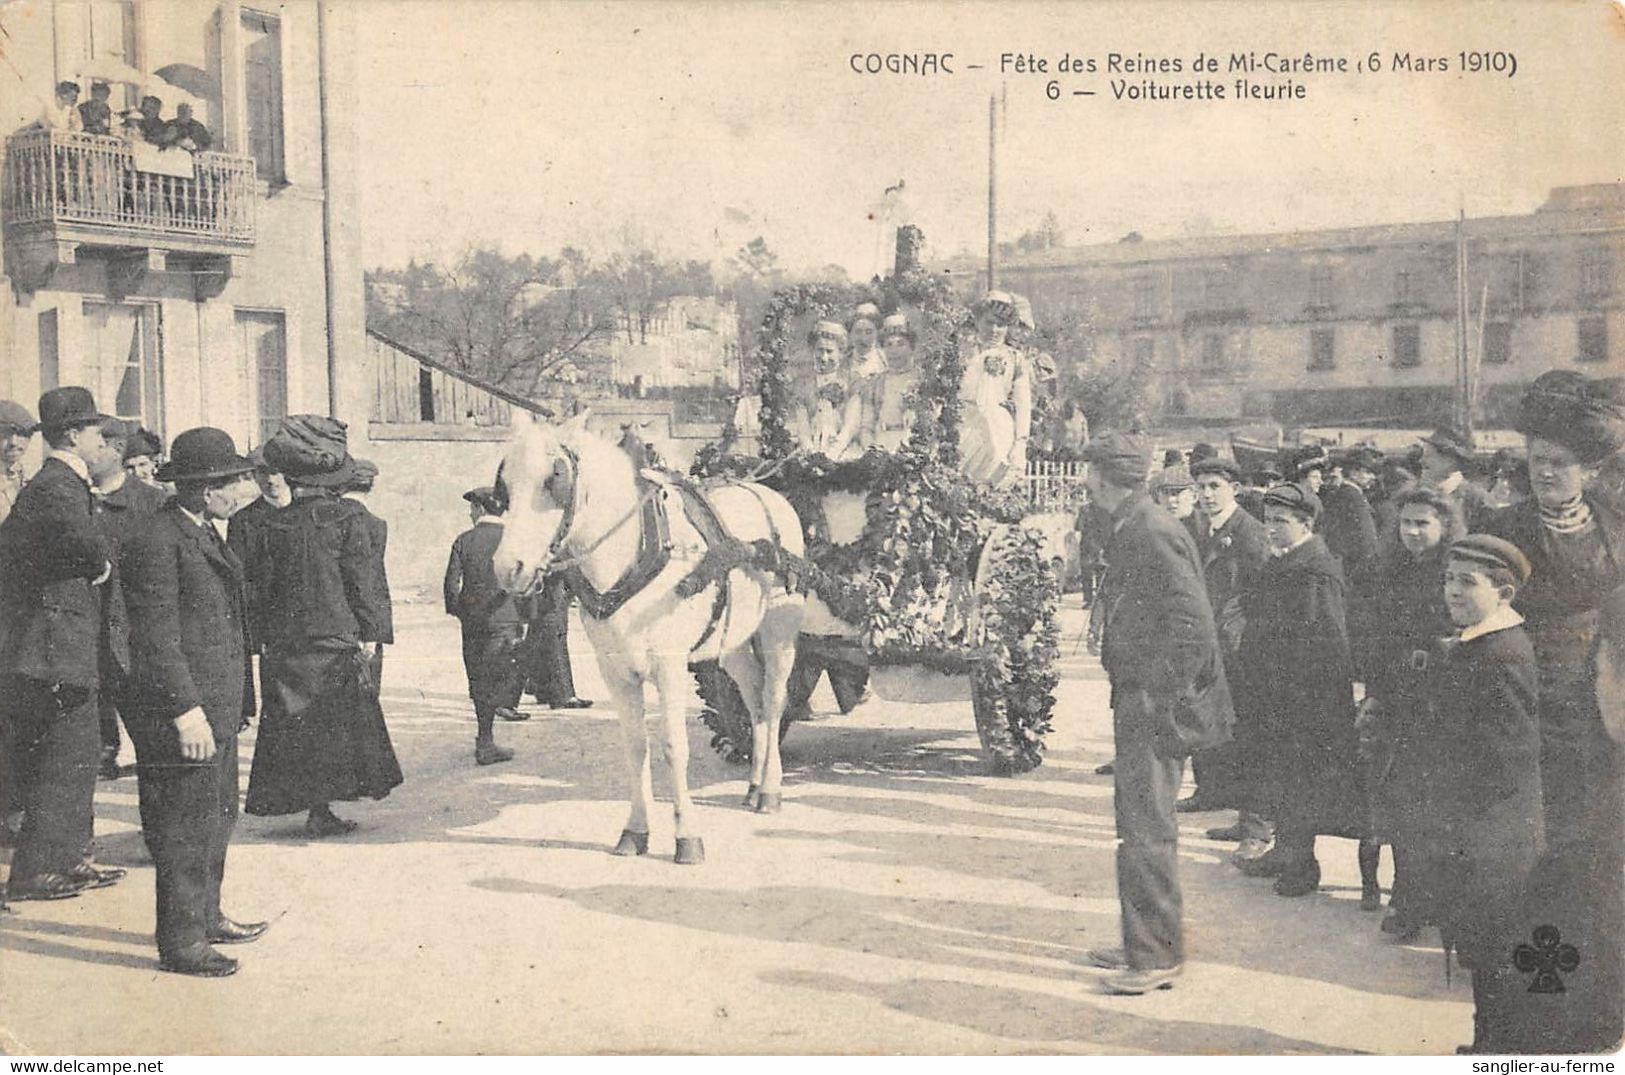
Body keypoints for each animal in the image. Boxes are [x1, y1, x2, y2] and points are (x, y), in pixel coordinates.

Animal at [490, 412, 802, 870]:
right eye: (505, 485)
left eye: (554, 479)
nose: (508, 568)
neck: (634, 553)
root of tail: (764, 490)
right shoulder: (615, 672)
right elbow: (636, 748)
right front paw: (635, 831)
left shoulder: (669, 666)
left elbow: (674, 748)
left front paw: (687, 838)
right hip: (733, 641)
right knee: (755, 700)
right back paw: (753, 784)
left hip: (779, 631)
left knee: (775, 701)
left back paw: (770, 791)